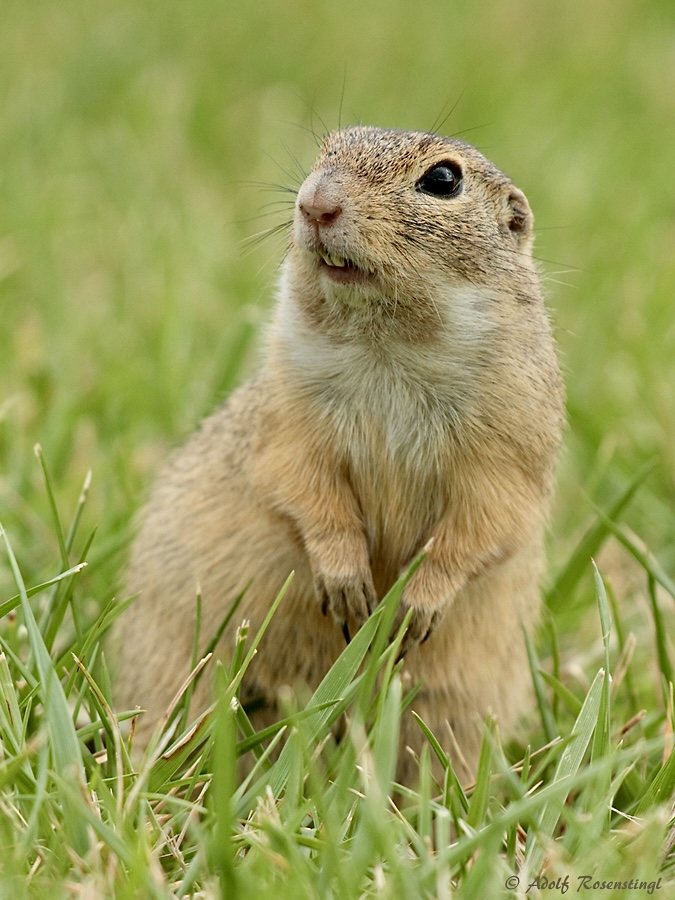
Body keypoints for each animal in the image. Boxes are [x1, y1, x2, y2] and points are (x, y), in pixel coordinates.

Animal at [115, 125, 564, 780]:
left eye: (443, 180)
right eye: (328, 147)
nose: (314, 203)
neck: (389, 345)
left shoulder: (509, 453)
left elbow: (485, 527)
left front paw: (415, 606)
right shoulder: (289, 420)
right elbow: (304, 490)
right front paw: (347, 582)